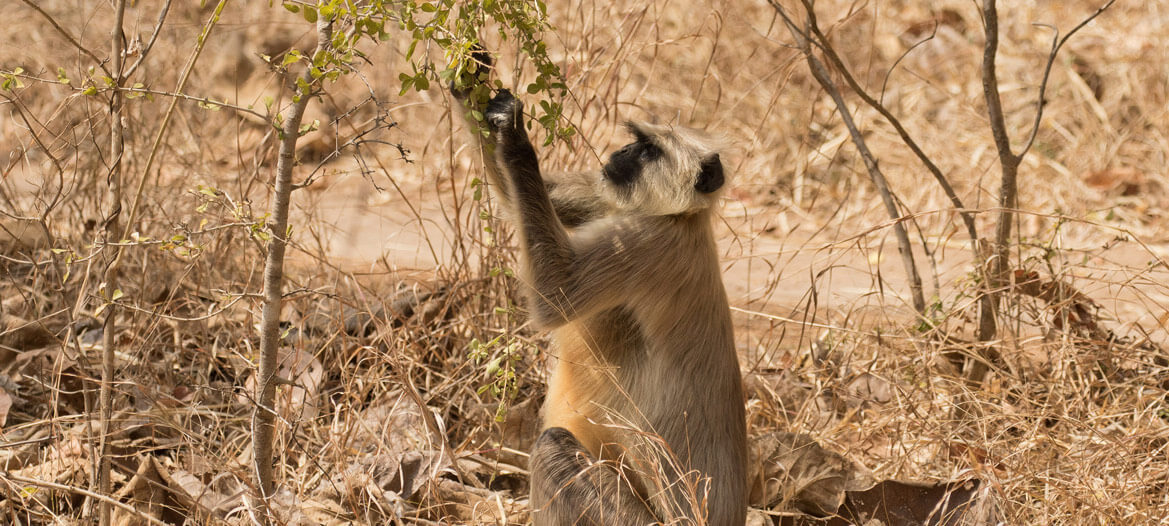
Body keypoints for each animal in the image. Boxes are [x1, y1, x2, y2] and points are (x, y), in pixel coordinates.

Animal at [451, 50, 743, 526]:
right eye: (636, 143)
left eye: (649, 150)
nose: (621, 150)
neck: (684, 217)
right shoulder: (613, 201)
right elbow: (529, 199)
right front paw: (471, 75)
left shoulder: (649, 242)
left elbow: (555, 292)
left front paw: (515, 139)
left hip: (626, 518)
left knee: (552, 446)